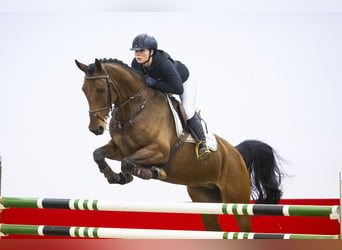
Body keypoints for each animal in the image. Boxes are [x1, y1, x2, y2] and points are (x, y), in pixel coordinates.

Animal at [75, 57, 284, 231]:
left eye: (101, 89)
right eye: (84, 91)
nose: (96, 128)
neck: (134, 111)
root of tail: (236, 153)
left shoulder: (159, 151)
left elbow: (128, 162)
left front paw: (149, 172)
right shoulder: (120, 149)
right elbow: (99, 154)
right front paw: (115, 176)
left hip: (236, 200)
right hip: (205, 199)